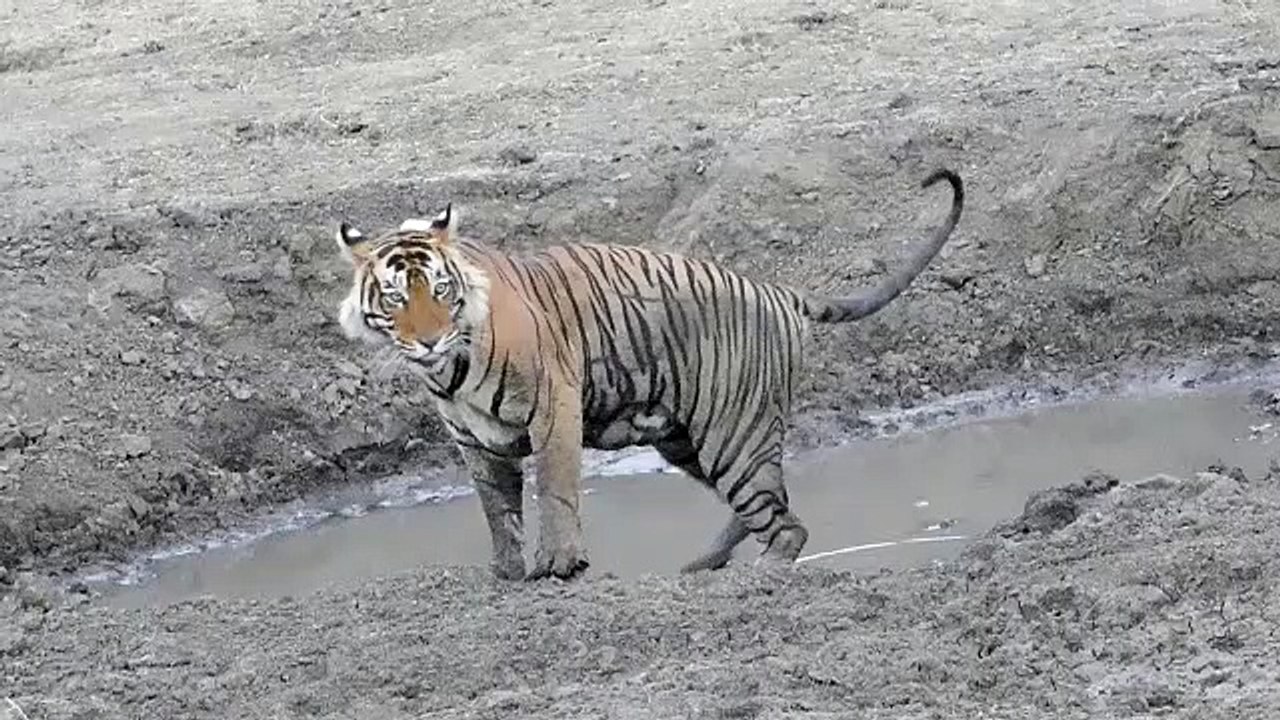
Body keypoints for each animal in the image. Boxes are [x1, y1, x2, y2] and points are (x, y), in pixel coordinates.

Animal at [334, 168, 963, 581]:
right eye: (395, 297)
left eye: (441, 289)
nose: (429, 338)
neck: (452, 370)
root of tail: (779, 290)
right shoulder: (474, 441)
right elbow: (497, 510)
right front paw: (507, 575)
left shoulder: (553, 408)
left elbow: (555, 491)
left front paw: (559, 566)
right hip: (689, 439)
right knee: (770, 505)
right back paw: (705, 564)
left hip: (731, 435)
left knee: (785, 524)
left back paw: (757, 573)